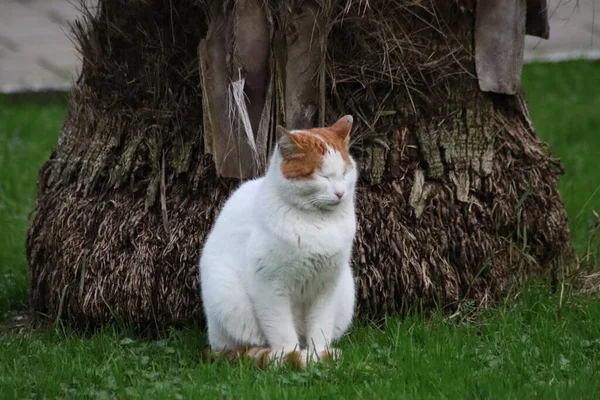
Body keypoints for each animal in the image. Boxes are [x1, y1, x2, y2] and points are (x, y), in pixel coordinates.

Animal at [199, 115, 358, 368]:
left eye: (344, 173)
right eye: (322, 176)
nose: (340, 193)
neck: (318, 223)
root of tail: (215, 345)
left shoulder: (327, 286)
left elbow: (320, 326)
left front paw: (318, 355)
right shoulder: (269, 287)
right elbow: (282, 332)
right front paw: (290, 358)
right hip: (226, 296)